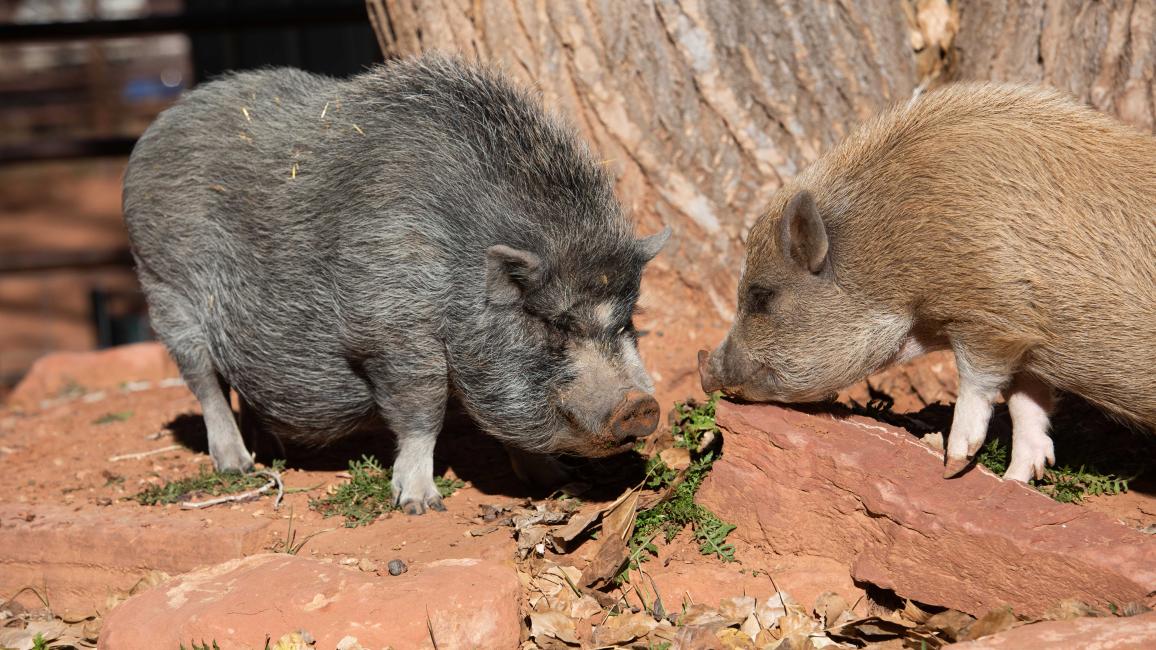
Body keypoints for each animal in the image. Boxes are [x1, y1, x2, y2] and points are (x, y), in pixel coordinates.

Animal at [123, 53, 670, 514]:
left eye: (626, 322)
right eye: (553, 324)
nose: (641, 405)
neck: (459, 258)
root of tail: (157, 127)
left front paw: (555, 480)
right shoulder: (389, 331)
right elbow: (422, 408)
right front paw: (420, 504)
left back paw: (273, 453)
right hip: (165, 289)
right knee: (203, 380)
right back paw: (237, 466)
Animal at [699, 82, 1156, 483]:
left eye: (762, 296)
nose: (705, 371)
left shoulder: (992, 315)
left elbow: (978, 383)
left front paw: (953, 466)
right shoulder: (1028, 339)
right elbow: (1027, 402)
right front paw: (1014, 480)